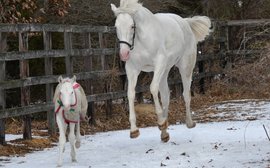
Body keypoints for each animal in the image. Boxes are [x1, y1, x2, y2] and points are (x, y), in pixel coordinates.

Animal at [110, 0, 212, 142]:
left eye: (132, 26)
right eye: (116, 27)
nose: (124, 54)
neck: (141, 40)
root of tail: (185, 22)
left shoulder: (159, 63)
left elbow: (153, 88)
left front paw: (160, 121)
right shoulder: (132, 69)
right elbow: (130, 94)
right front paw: (134, 130)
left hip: (185, 67)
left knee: (186, 94)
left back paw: (188, 123)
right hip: (165, 71)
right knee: (165, 97)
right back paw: (164, 133)